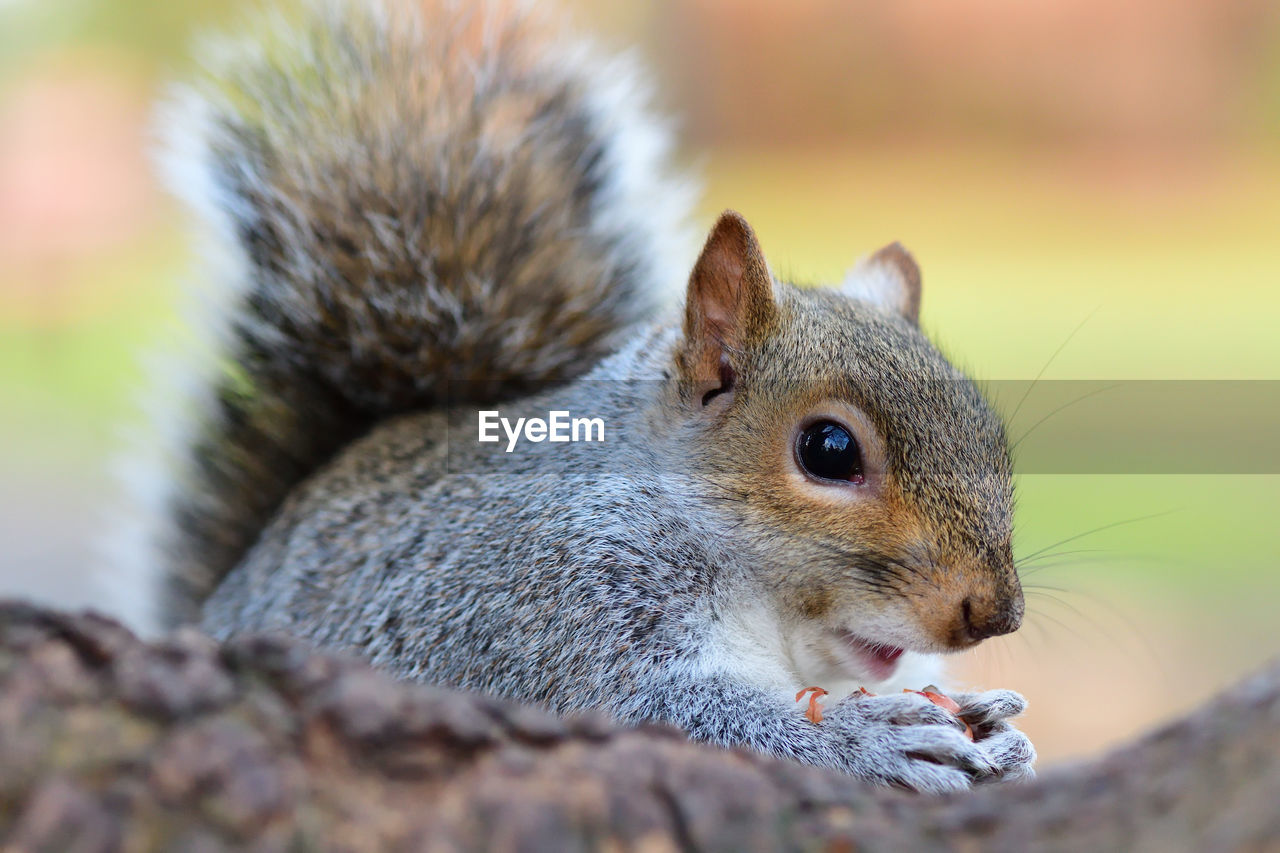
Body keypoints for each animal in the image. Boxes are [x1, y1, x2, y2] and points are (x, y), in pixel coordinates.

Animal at [120, 0, 1034, 788]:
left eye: (993, 435)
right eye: (829, 449)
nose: (992, 615)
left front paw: (997, 725)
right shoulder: (549, 612)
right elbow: (662, 713)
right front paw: (868, 737)